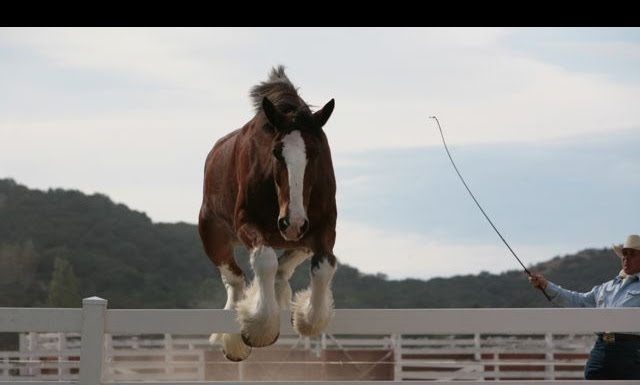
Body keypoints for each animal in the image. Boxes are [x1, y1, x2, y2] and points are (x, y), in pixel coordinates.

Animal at [199, 65, 340, 360]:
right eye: (276, 152)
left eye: (316, 152)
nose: (292, 223)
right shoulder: (247, 223)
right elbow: (264, 260)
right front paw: (259, 328)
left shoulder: (323, 229)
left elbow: (323, 268)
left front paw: (303, 317)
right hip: (212, 234)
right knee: (235, 280)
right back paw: (233, 340)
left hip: (300, 240)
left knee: (282, 269)